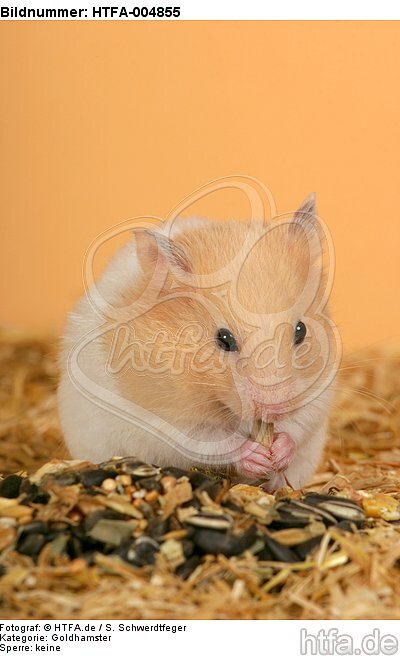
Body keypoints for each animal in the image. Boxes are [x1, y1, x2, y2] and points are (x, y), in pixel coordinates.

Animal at [58, 194, 339, 491]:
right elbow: (211, 440)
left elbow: (299, 423)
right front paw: (255, 455)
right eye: (223, 339)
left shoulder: (319, 390)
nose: (273, 409)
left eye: (301, 331)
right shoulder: (170, 421)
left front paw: (279, 449)